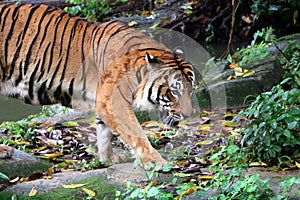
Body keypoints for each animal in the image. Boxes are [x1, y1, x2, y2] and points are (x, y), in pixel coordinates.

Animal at [0, 3, 195, 170]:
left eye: (191, 91)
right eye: (174, 92)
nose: (188, 115)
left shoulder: (103, 100)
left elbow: (104, 132)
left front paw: (108, 158)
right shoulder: (114, 102)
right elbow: (135, 133)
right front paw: (156, 161)